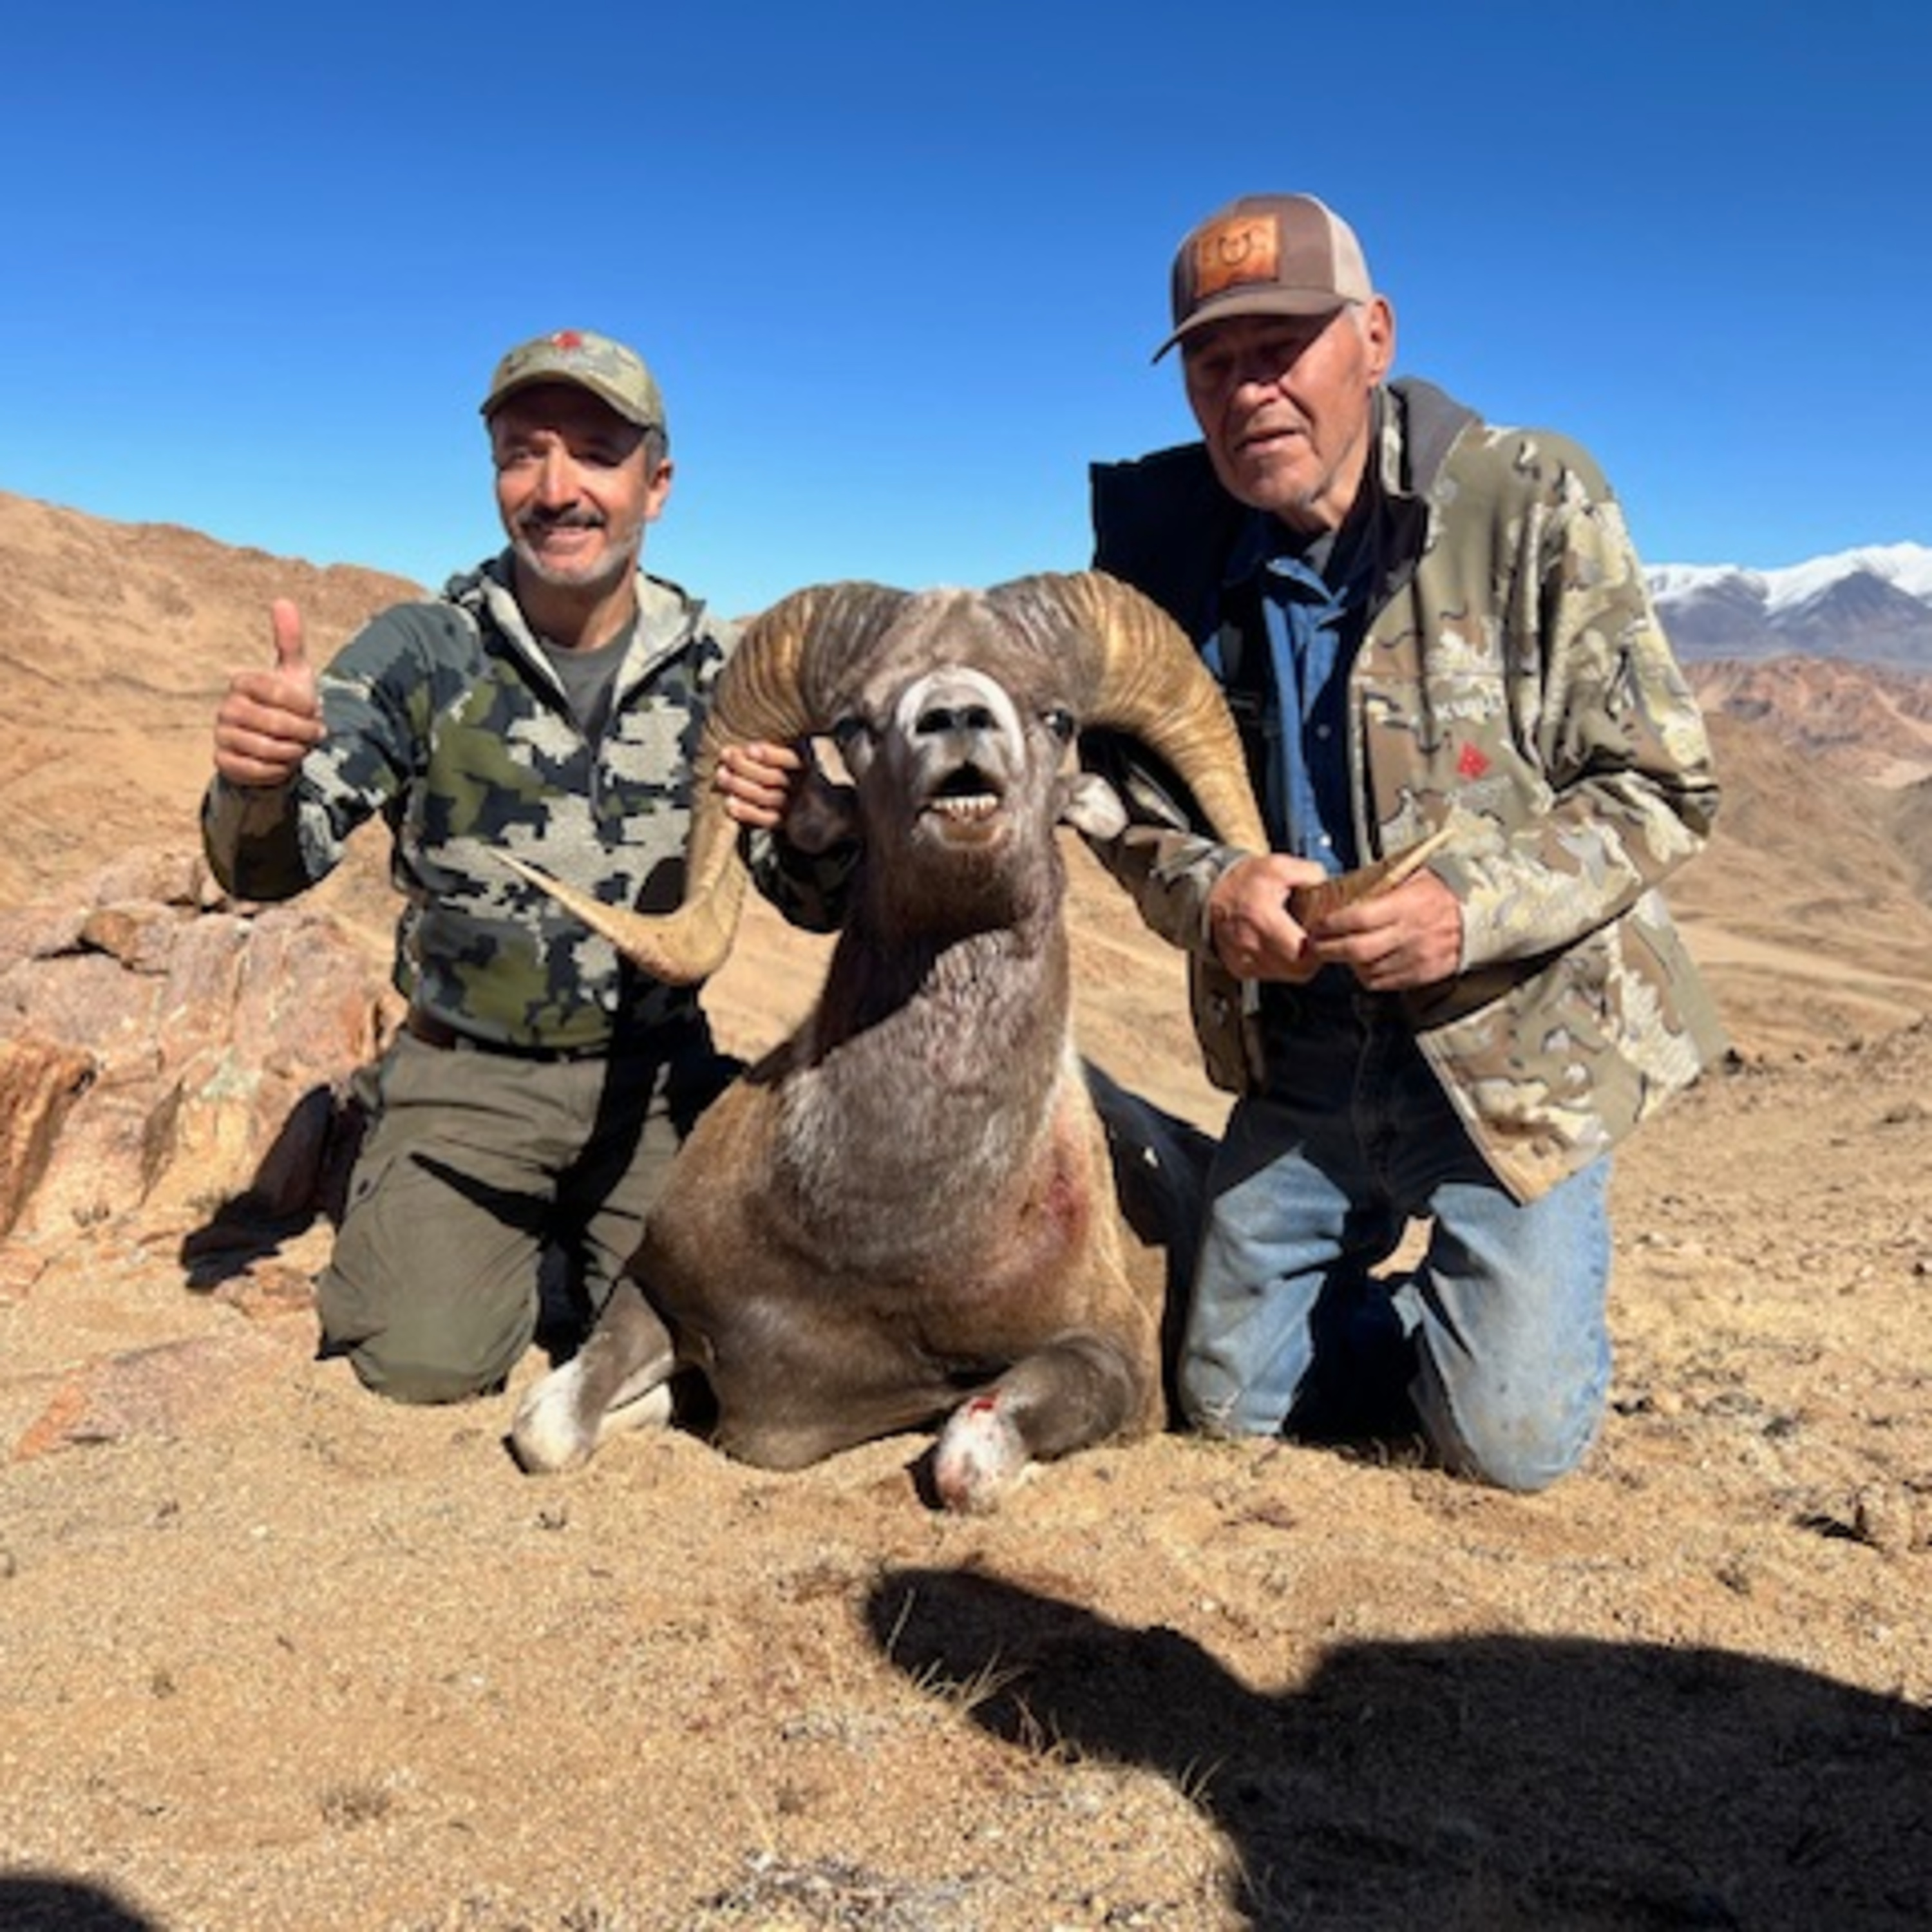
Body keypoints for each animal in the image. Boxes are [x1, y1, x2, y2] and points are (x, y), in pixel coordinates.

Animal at [502, 571, 1268, 1511]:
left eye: (1057, 717)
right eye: (853, 725)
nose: (957, 719)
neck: (878, 1232)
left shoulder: (1108, 1360)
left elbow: (968, 1457)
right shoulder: (653, 1293)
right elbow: (548, 1428)